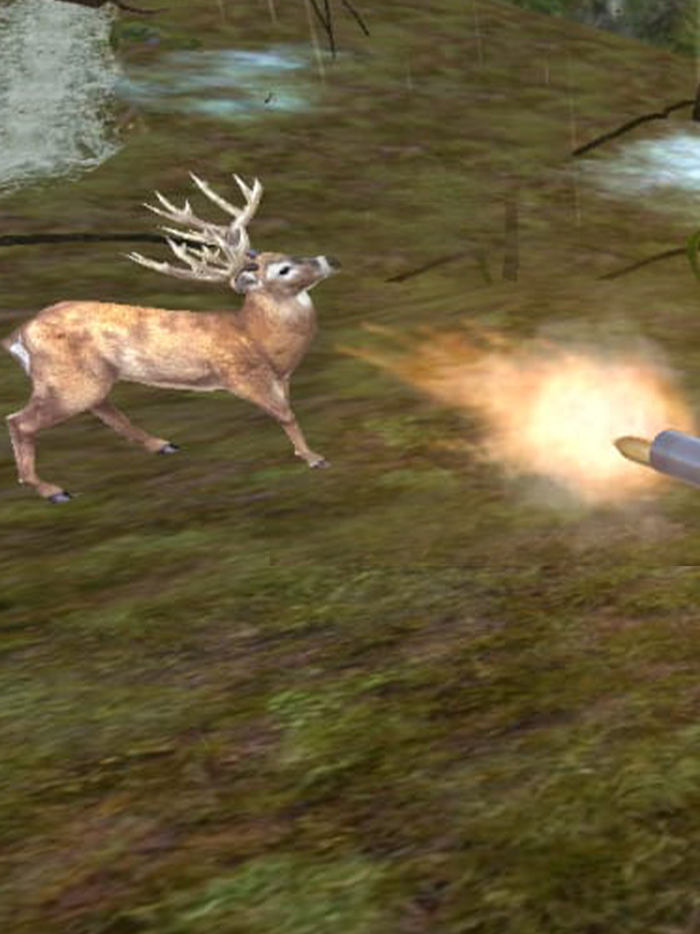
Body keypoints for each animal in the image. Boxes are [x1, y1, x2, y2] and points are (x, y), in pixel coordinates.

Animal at [2, 172, 340, 503]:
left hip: (86, 378)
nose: (331, 260)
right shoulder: (241, 375)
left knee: (103, 408)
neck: (259, 338)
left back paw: (162, 444)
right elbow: (285, 415)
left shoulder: (281, 378)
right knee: (19, 421)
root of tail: (18, 335)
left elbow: (287, 410)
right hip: (64, 380)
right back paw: (51, 490)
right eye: (284, 269)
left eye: (288, 253)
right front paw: (314, 458)